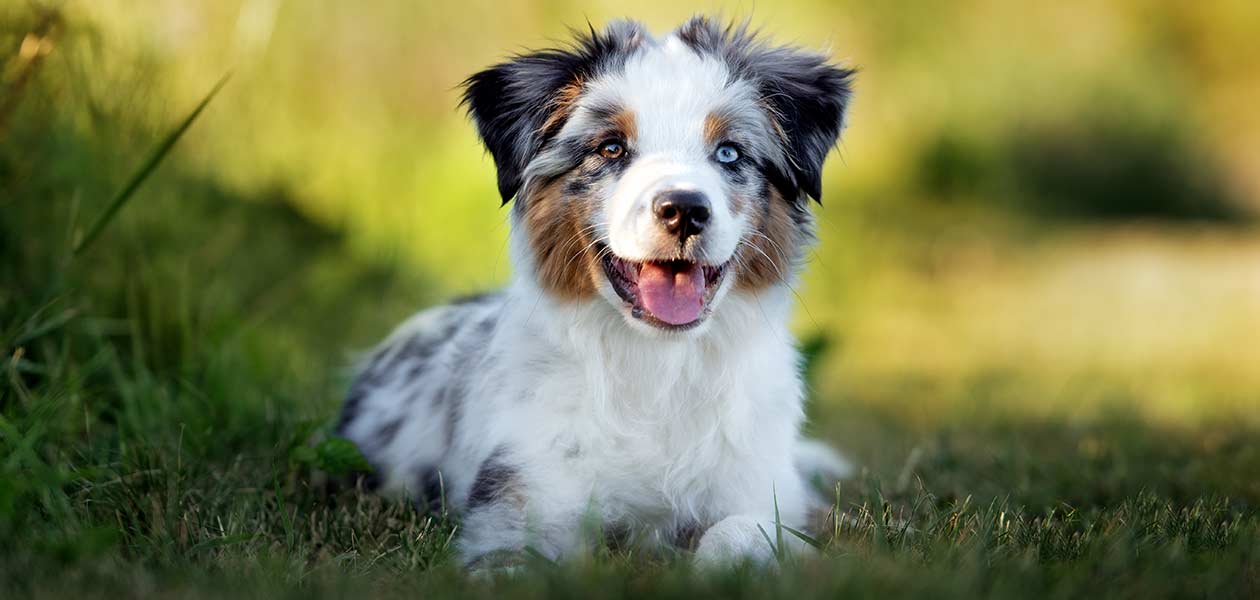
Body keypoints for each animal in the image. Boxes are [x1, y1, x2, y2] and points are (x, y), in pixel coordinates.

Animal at [337, 15, 856, 567]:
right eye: (611, 148)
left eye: (729, 152)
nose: (685, 210)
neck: (659, 367)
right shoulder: (516, 502)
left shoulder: (767, 492)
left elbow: (741, 533)